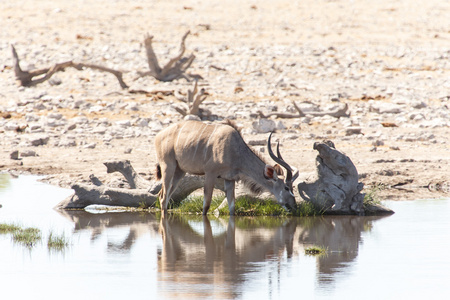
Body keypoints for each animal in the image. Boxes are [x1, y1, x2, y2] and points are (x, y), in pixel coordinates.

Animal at [155, 120, 298, 216]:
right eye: (286, 188)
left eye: (292, 188)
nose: (294, 206)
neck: (235, 149)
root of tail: (159, 135)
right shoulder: (210, 173)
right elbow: (206, 206)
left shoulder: (230, 179)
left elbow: (232, 207)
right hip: (168, 166)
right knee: (163, 197)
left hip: (180, 172)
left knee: (164, 195)